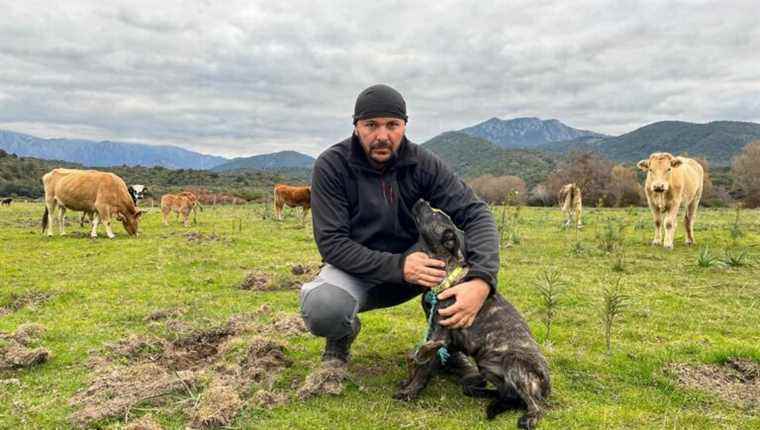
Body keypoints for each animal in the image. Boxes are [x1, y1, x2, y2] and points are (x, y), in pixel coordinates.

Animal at [394, 200, 548, 428]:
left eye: (434, 213)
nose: (422, 200)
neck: (447, 272)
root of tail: (547, 385)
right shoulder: (435, 331)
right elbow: (421, 361)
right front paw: (409, 382)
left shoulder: (440, 335)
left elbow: (424, 362)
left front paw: (410, 391)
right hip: (487, 367)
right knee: (509, 395)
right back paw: (479, 391)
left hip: (515, 364)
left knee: (535, 404)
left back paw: (529, 417)